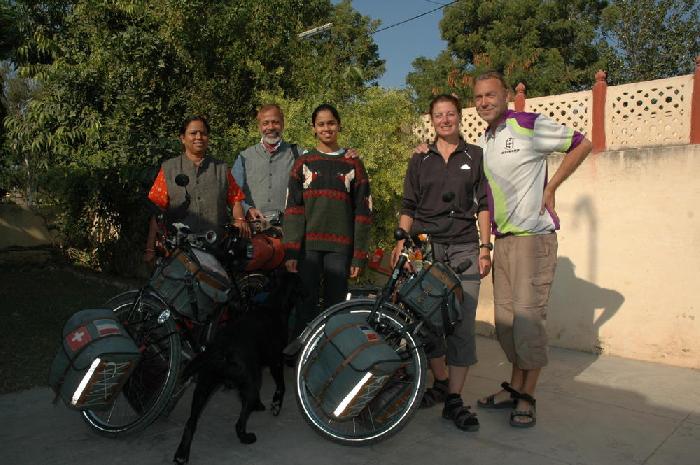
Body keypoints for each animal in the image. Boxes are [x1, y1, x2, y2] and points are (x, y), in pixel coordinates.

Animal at [173, 272, 304, 464]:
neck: (274, 305)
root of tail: (221, 350)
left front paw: (260, 404)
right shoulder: (276, 362)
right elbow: (281, 386)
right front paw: (275, 405)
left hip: (203, 389)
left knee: (191, 423)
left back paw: (182, 454)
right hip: (250, 384)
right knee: (239, 424)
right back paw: (247, 438)